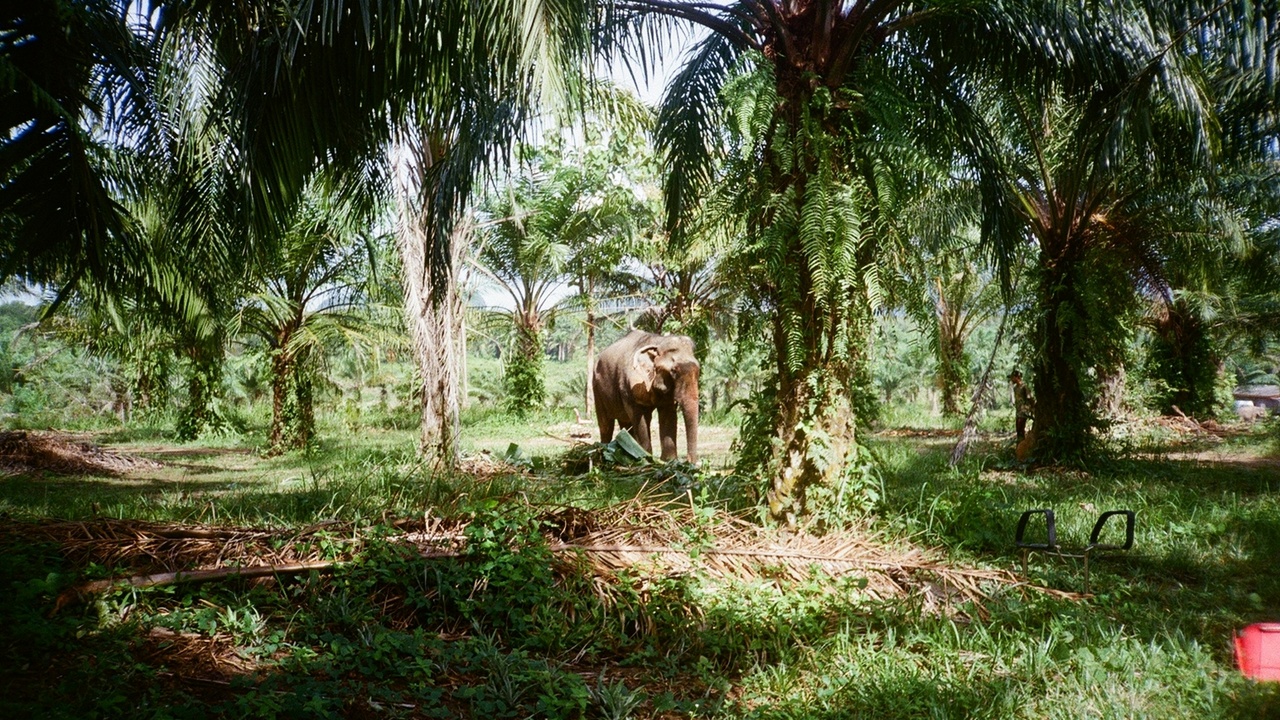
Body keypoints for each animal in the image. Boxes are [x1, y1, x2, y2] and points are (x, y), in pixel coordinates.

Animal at [592, 329, 700, 463]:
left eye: (698, 370)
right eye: (674, 371)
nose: (689, 462)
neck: (658, 342)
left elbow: (668, 415)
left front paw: (668, 461)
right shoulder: (630, 386)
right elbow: (638, 417)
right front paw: (646, 459)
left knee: (626, 423)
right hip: (597, 389)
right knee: (606, 425)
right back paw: (604, 450)